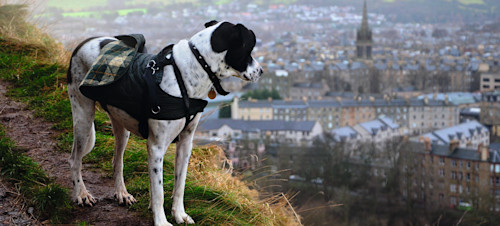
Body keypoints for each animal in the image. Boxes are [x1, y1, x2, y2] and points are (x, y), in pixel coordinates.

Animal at [67, 20, 264, 225]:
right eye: (249, 49)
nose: (261, 71)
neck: (186, 74)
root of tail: (83, 43)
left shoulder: (185, 143)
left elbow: (180, 184)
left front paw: (179, 214)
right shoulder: (156, 147)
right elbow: (159, 191)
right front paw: (161, 220)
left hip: (121, 125)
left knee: (117, 161)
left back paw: (121, 193)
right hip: (83, 117)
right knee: (74, 159)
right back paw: (81, 195)